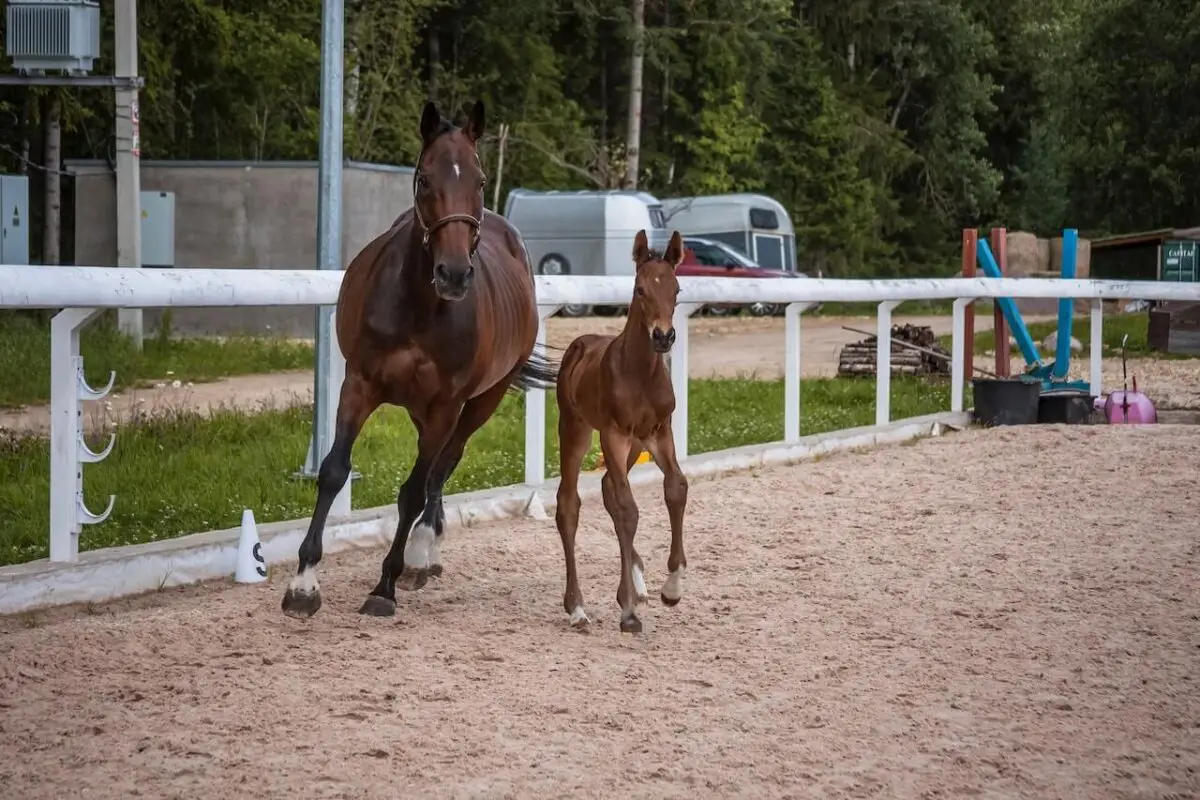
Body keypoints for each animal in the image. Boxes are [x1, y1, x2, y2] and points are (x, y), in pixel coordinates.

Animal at [281, 99, 558, 619]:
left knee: (442, 465)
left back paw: (422, 551)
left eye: (480, 180)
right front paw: (304, 583)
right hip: (416, 406)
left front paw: (384, 584)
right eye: (425, 179)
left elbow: (412, 489)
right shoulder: (359, 385)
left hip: (482, 400)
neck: (415, 305)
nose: (454, 274)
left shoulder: (446, 405)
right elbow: (333, 471)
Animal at [553, 229, 689, 633]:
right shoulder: (613, 434)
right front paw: (628, 611)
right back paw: (577, 607)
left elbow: (676, 488)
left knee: (607, 488)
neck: (640, 372)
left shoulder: (660, 432)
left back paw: (637, 580)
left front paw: (671, 589)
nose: (663, 337)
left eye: (677, 289)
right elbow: (629, 508)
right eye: (639, 289)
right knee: (569, 504)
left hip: (634, 445)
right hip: (576, 429)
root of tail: (579, 344)